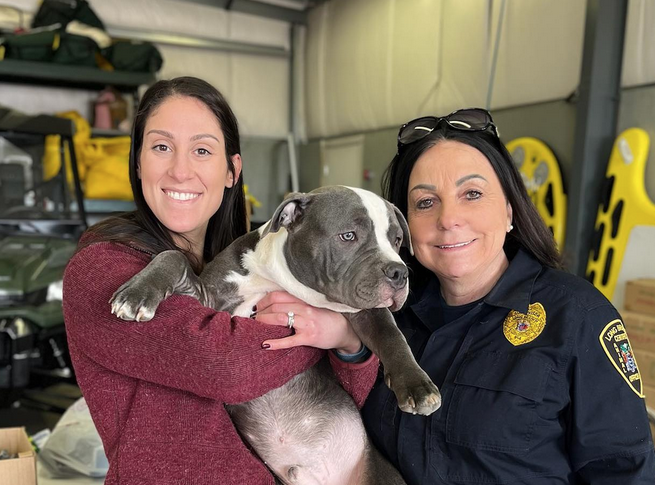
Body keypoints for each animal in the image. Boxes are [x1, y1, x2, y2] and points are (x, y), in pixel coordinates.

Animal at [111, 186, 440, 484]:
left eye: (397, 240)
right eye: (348, 236)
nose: (399, 272)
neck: (279, 280)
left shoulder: (368, 311)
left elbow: (393, 337)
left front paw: (416, 385)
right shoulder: (207, 298)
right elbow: (172, 257)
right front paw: (137, 293)